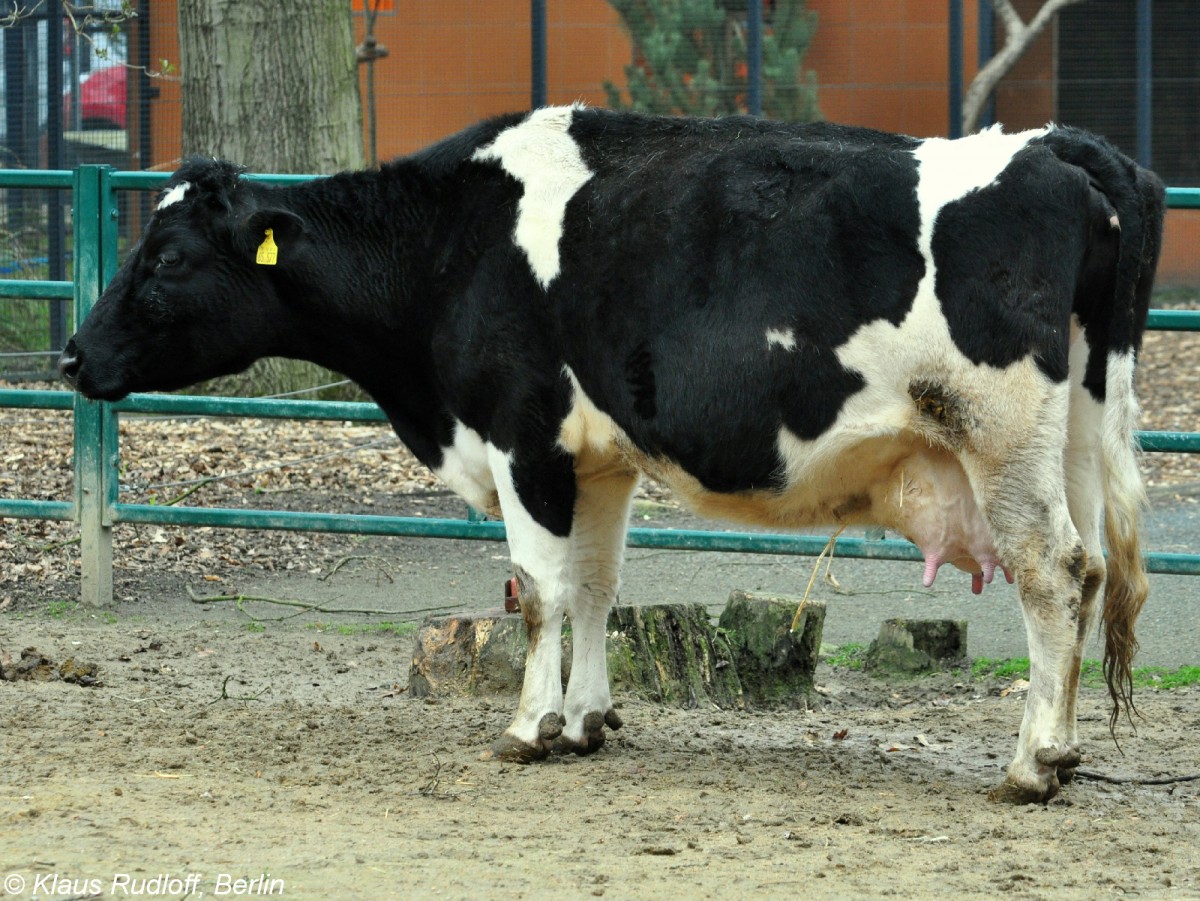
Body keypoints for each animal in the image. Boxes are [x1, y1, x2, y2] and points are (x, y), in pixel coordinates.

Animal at [60, 105, 1166, 801]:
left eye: (166, 258)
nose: (71, 353)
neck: (451, 246)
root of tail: (1061, 146)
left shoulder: (523, 436)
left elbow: (538, 591)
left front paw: (527, 730)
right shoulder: (598, 456)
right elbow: (596, 585)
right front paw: (589, 718)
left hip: (1000, 438)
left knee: (1053, 574)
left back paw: (1032, 764)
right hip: (1075, 434)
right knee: (1088, 571)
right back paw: (1063, 751)